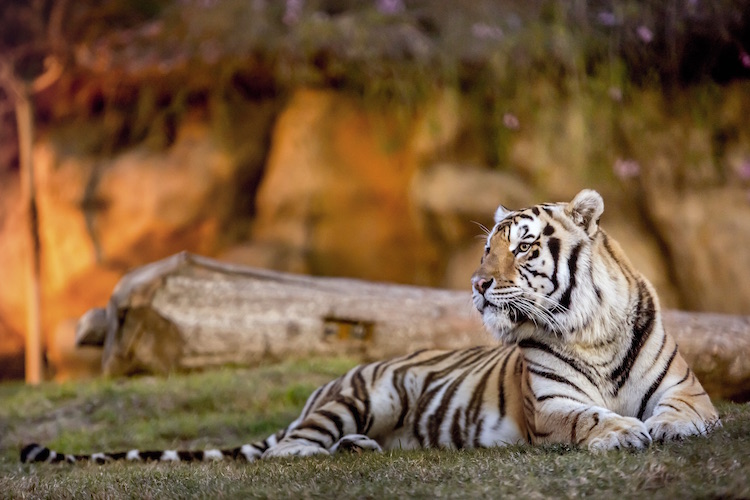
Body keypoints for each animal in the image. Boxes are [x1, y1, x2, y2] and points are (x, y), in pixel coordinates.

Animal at [21, 189, 720, 464]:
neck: (589, 330)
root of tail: (322, 388)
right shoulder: (551, 407)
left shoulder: (689, 390)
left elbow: (683, 413)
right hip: (361, 396)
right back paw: (338, 449)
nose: (477, 284)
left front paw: (662, 429)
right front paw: (623, 431)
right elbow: (588, 418)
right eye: (484, 249)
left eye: (521, 248)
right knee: (286, 451)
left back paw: (364, 450)